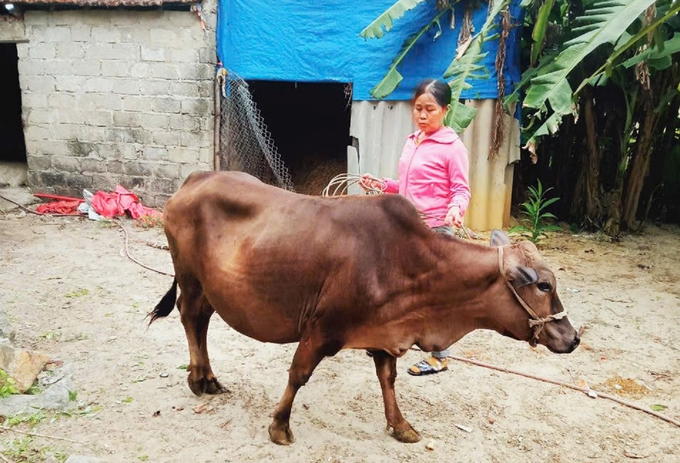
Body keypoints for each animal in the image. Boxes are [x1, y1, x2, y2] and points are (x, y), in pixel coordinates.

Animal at [151, 170, 580, 446]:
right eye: (544, 285)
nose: (573, 338)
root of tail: (195, 179)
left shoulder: (385, 334)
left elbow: (388, 380)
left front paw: (400, 425)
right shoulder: (322, 329)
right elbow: (298, 375)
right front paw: (279, 426)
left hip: (210, 287)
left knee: (202, 321)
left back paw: (207, 377)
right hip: (190, 278)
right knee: (190, 317)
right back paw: (198, 379)